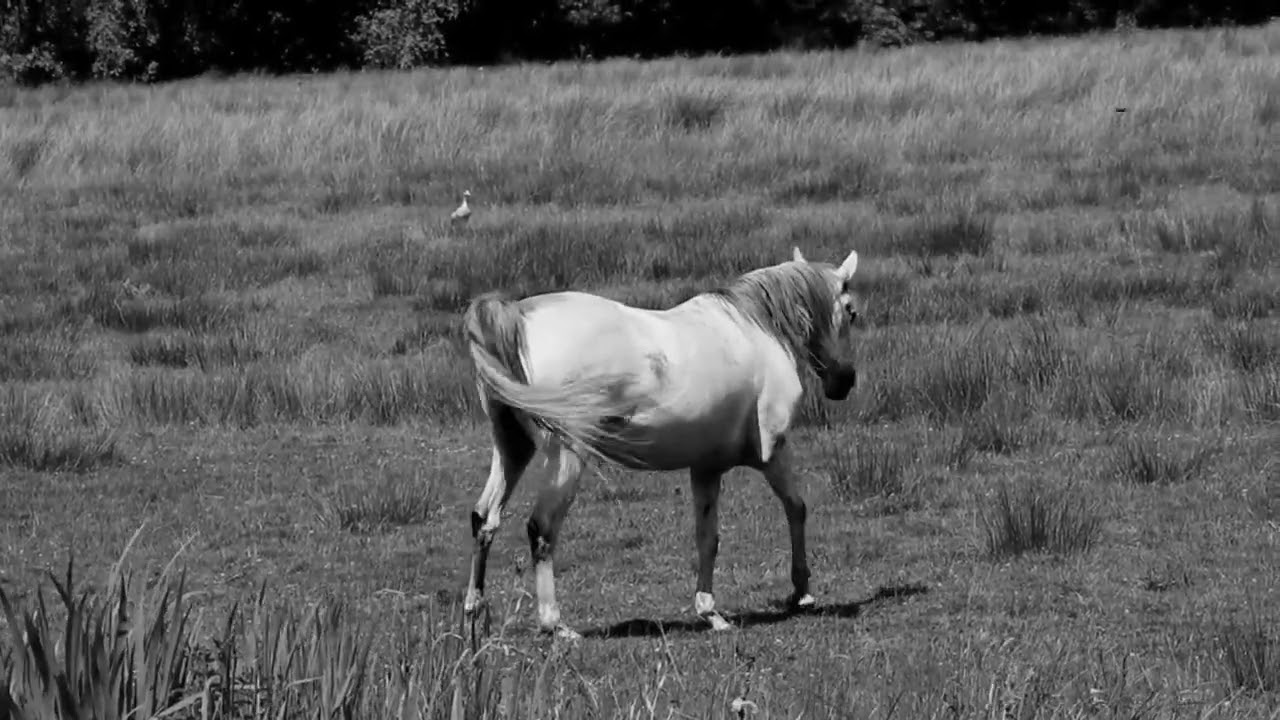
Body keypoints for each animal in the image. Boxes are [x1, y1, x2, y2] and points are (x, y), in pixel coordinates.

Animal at [461, 246, 862, 639]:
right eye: (851, 311)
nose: (844, 382)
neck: (756, 329)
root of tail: (516, 317)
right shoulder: (773, 454)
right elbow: (796, 509)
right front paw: (802, 591)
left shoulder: (706, 468)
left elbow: (708, 538)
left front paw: (710, 613)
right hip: (566, 458)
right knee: (541, 528)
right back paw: (554, 624)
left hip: (512, 450)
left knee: (485, 519)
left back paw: (473, 611)